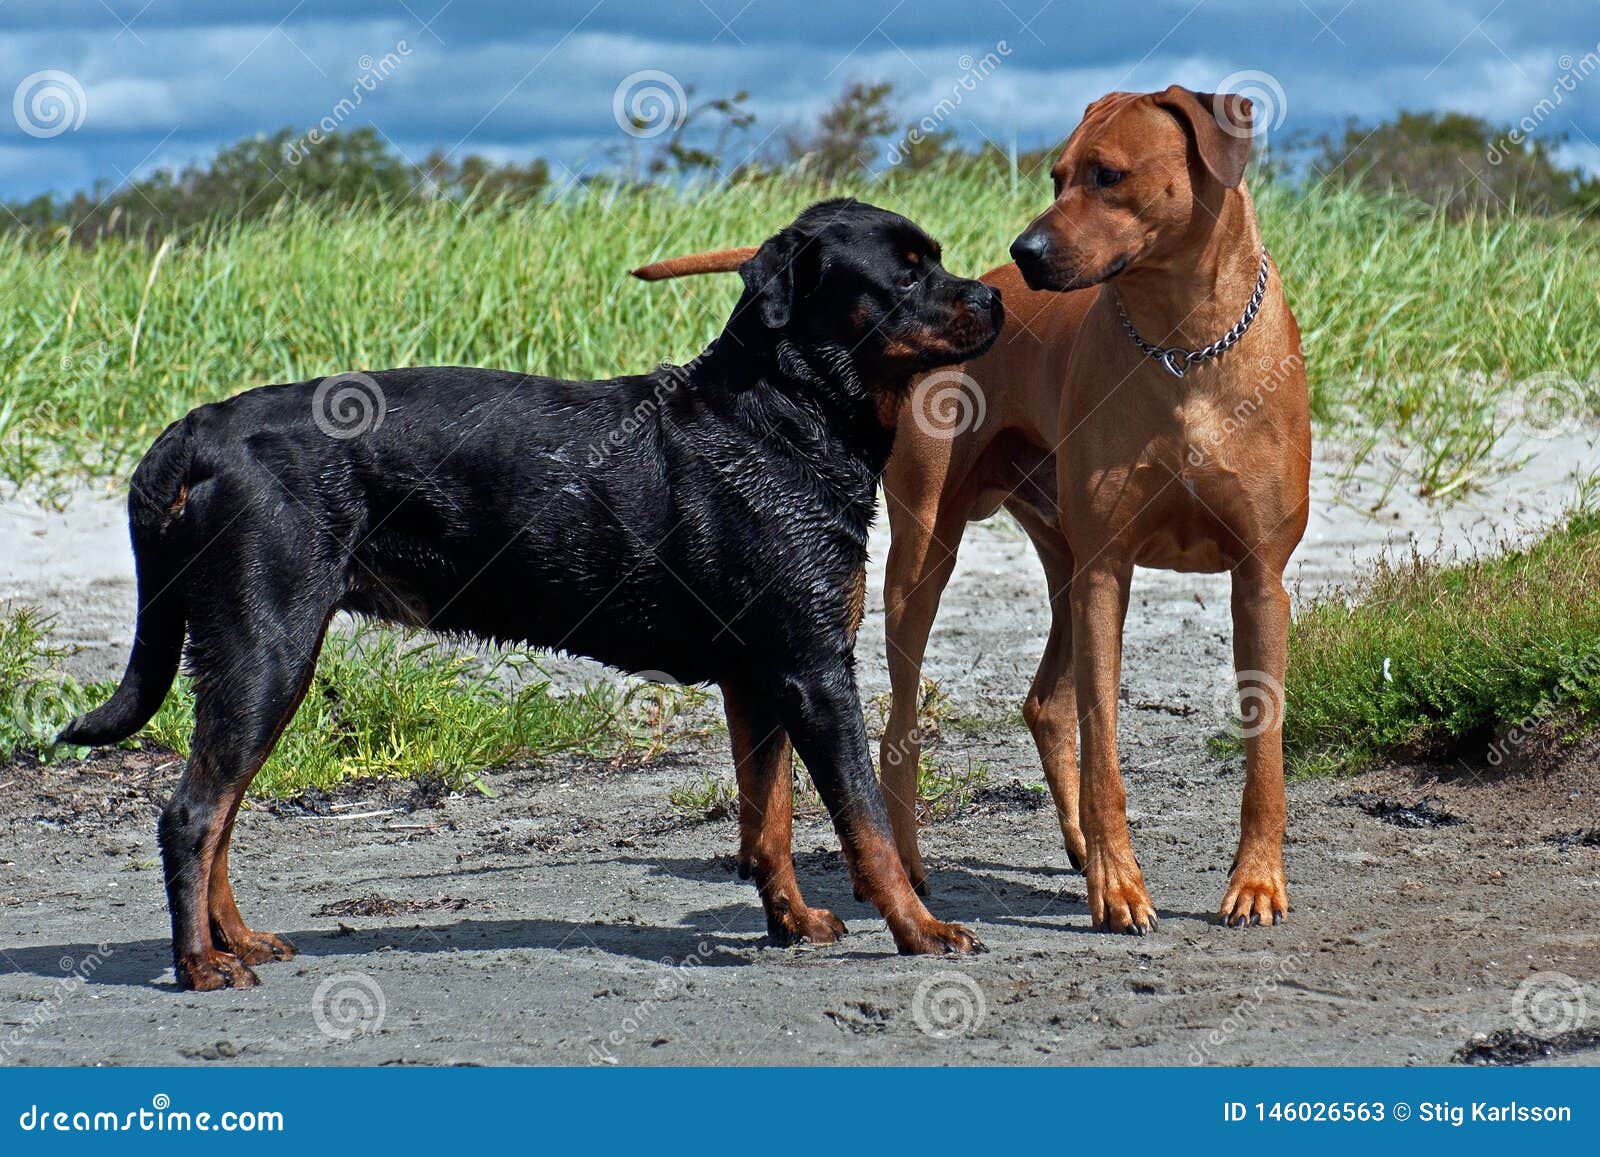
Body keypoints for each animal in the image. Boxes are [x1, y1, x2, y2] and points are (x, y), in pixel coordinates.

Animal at [630, 83, 1305, 934]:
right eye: (1056, 175)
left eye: (1109, 175)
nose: (1026, 254)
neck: (1184, 343)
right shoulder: (1108, 572)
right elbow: (1105, 748)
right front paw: (1121, 886)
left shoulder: (1258, 578)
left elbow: (1264, 752)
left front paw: (1256, 882)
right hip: (928, 561)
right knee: (901, 727)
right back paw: (913, 867)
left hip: (1066, 567)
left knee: (1046, 703)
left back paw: (1077, 844)